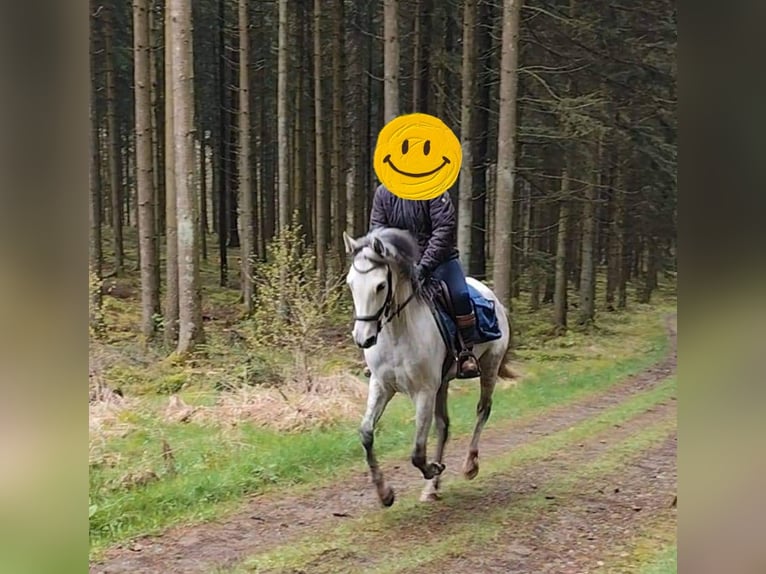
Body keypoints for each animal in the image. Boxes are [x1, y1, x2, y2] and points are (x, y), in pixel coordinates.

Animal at [344, 227, 516, 506]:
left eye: (380, 286)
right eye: (350, 284)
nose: (363, 338)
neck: (398, 332)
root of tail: (493, 299)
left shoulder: (423, 391)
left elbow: (417, 451)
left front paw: (432, 468)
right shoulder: (381, 386)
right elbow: (367, 433)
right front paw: (384, 493)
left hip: (489, 365)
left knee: (483, 409)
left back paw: (470, 466)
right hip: (442, 383)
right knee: (444, 426)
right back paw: (431, 489)